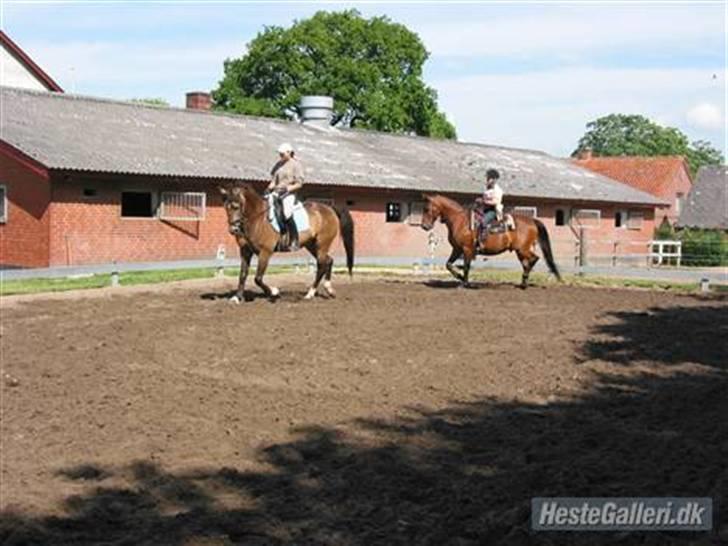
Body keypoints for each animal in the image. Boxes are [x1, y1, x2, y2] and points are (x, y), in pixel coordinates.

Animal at [218, 184, 354, 302]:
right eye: (226, 207)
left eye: (236, 206)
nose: (233, 230)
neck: (257, 219)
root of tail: (329, 209)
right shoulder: (245, 251)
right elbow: (243, 274)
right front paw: (237, 298)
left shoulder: (265, 252)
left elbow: (258, 278)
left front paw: (274, 292)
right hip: (311, 245)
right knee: (328, 261)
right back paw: (329, 290)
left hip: (322, 244)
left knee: (321, 265)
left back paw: (310, 294)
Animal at [418, 193, 560, 286]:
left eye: (427, 209)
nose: (424, 226)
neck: (459, 221)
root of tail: (532, 220)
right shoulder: (457, 249)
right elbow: (449, 264)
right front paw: (460, 278)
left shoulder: (467, 249)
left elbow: (466, 266)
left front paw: (464, 283)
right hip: (519, 251)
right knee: (526, 263)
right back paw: (523, 283)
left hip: (523, 249)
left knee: (534, 259)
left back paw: (524, 281)